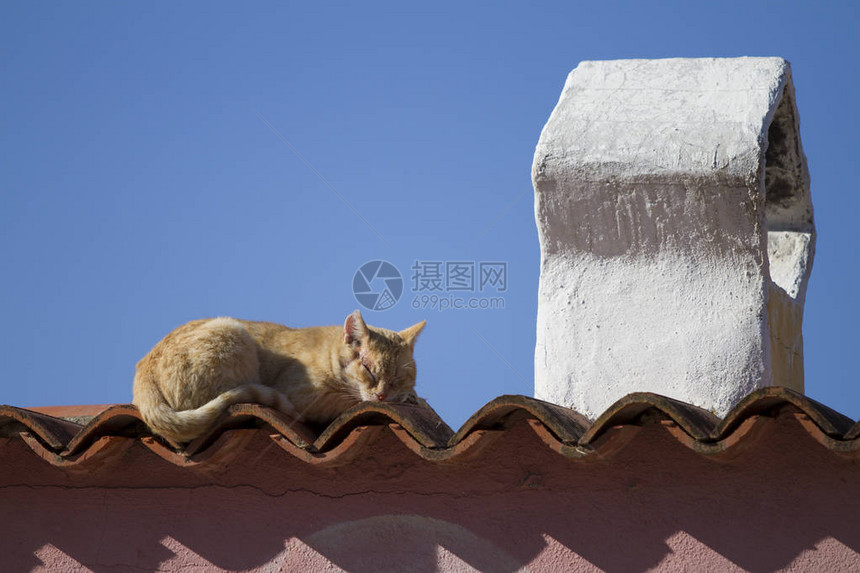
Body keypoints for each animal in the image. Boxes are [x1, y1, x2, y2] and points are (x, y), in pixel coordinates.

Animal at [133, 310, 424, 444]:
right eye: (367, 367)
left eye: (398, 376)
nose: (383, 395)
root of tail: (142, 368)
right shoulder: (302, 395)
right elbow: (351, 401)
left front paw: (409, 394)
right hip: (231, 332)